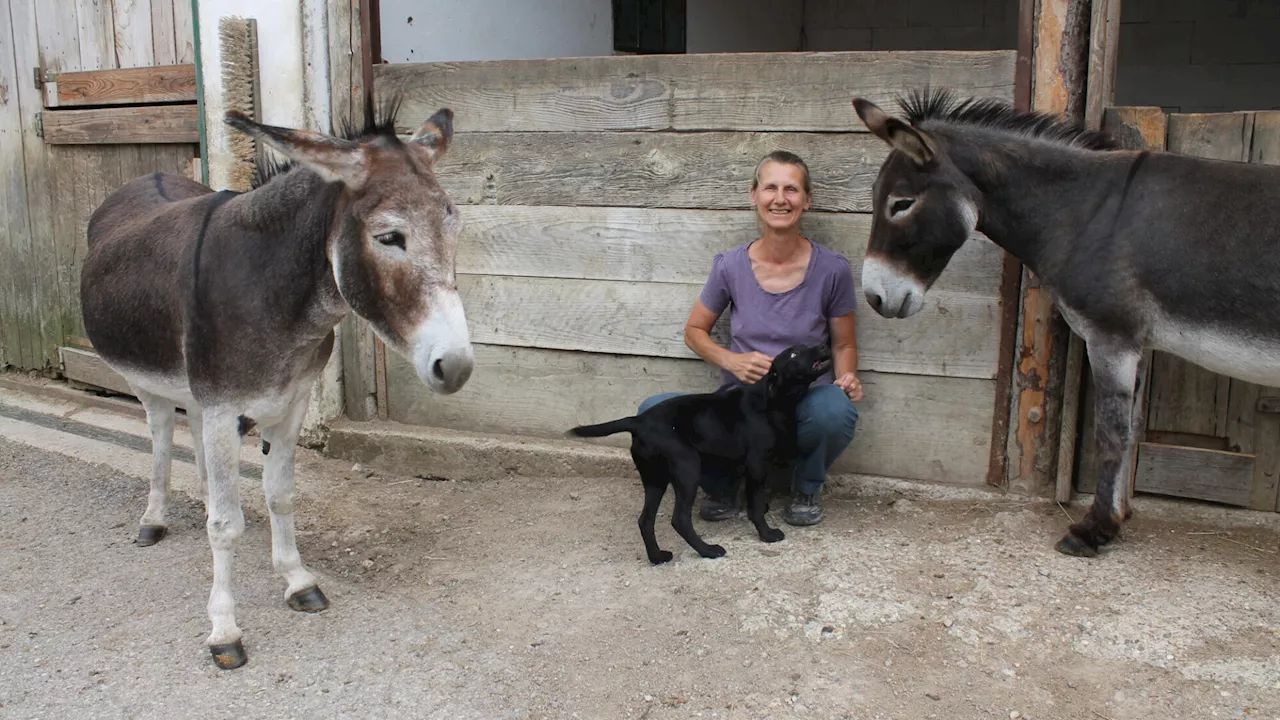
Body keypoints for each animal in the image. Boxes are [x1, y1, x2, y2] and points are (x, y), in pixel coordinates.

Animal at [568, 340, 829, 561]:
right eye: (794, 354)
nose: (824, 345)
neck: (774, 400)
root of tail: (638, 421)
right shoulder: (756, 465)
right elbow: (755, 505)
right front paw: (766, 534)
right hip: (687, 468)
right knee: (679, 519)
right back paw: (708, 551)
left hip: (655, 478)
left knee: (645, 520)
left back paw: (657, 556)